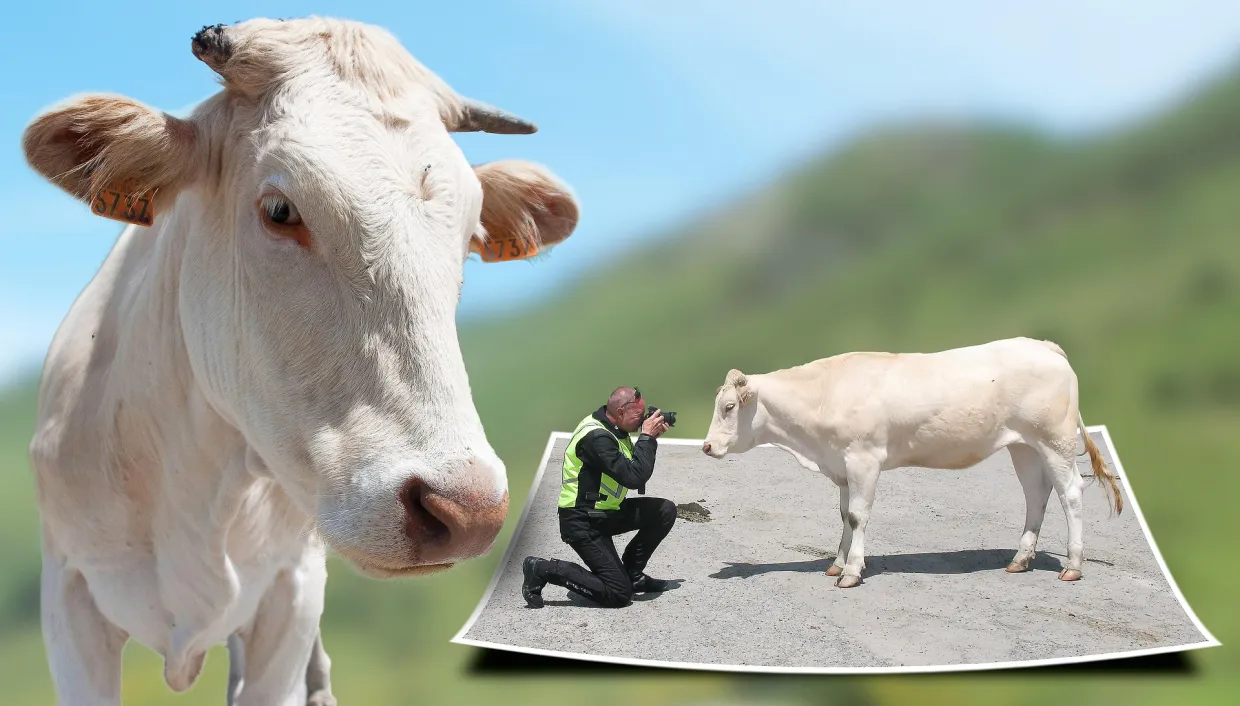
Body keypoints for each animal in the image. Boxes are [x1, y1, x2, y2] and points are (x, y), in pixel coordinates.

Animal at [701, 337, 1123, 589]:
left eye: (729, 407)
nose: (705, 446)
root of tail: (1043, 345)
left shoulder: (864, 459)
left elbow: (858, 516)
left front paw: (851, 572)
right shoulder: (842, 465)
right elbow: (844, 515)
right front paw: (836, 563)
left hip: (1054, 439)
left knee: (1071, 493)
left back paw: (1073, 565)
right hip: (1024, 446)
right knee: (1037, 494)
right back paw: (1020, 559)